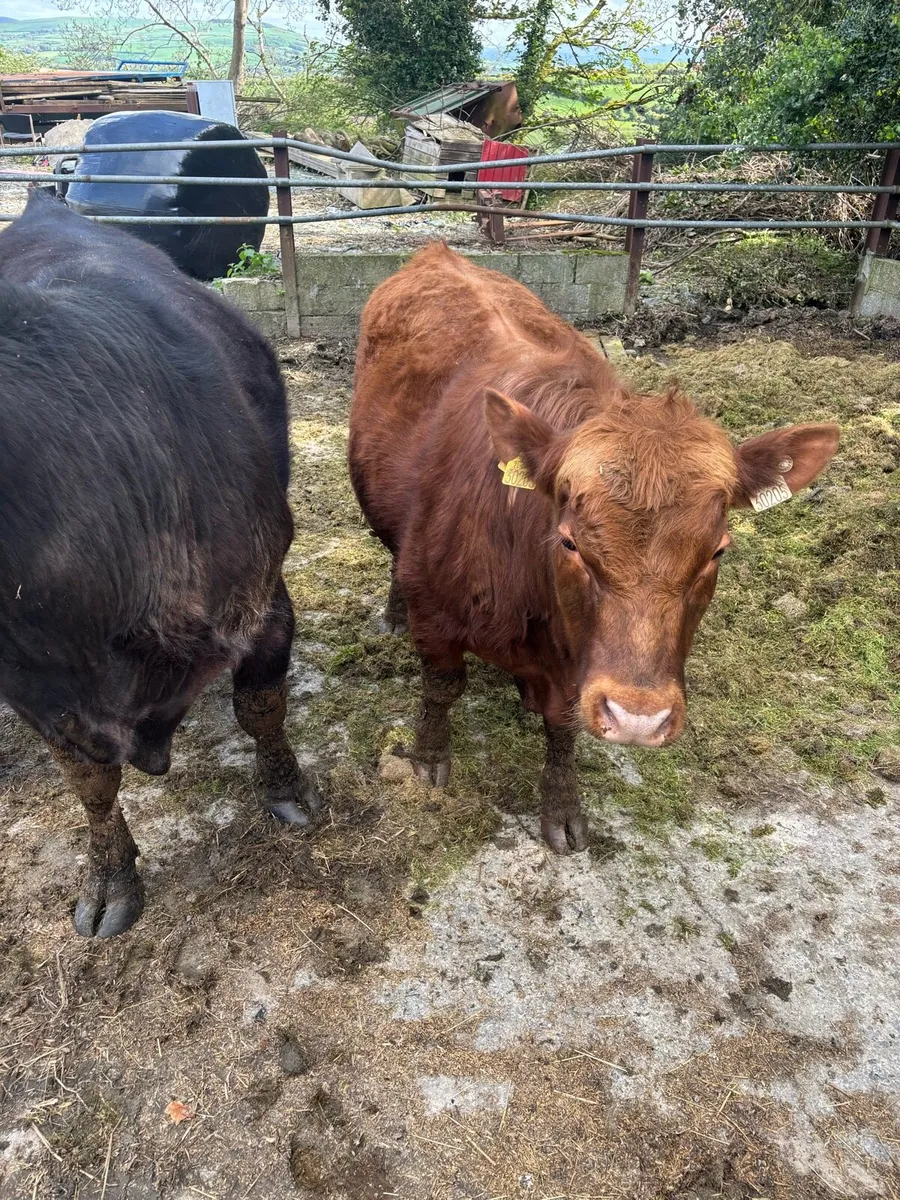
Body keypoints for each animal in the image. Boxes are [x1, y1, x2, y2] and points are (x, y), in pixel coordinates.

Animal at [0, 193, 319, 938]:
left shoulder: (264, 600)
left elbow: (261, 707)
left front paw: (290, 793)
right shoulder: (35, 688)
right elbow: (89, 783)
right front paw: (110, 879)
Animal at [349, 243, 839, 853]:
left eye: (718, 551)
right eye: (569, 542)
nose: (638, 720)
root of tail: (437, 253)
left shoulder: (572, 666)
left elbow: (562, 725)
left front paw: (562, 807)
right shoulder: (436, 615)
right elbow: (441, 688)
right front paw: (427, 758)